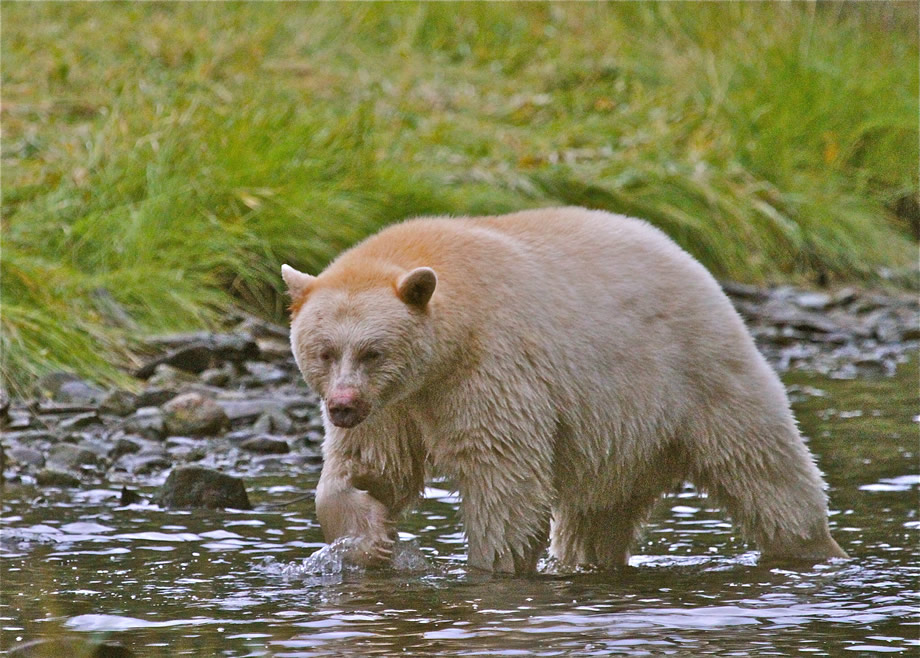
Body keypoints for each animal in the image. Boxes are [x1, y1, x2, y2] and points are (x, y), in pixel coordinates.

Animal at [282, 205, 848, 568]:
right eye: (323, 350)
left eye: (372, 351)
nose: (342, 406)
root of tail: (693, 262)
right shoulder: (396, 405)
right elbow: (373, 467)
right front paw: (370, 538)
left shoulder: (490, 368)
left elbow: (503, 475)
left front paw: (493, 565)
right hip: (620, 441)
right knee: (597, 516)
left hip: (698, 377)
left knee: (769, 474)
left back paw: (816, 548)